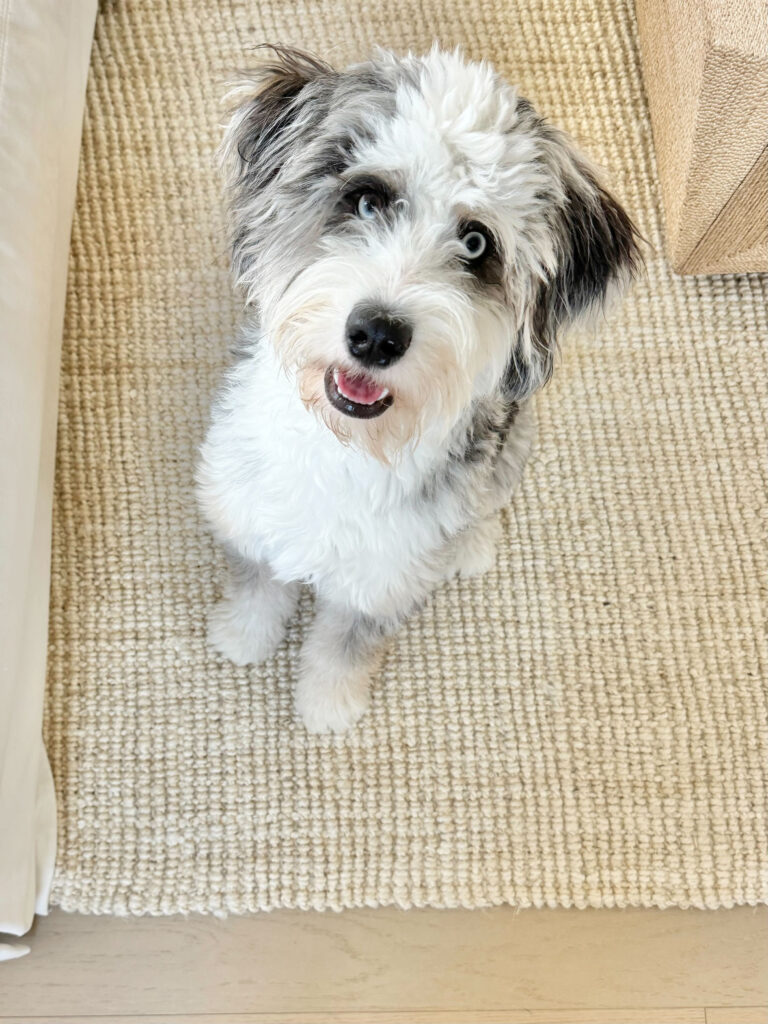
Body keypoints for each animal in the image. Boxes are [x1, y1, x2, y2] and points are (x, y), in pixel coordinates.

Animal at [195, 44, 638, 733]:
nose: (377, 334)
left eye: (476, 243)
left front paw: (328, 706)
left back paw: (470, 544)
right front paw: (243, 637)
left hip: (512, 439)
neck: (347, 447)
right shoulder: (247, 512)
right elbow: (257, 583)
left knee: (486, 499)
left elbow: (344, 645)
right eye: (366, 199)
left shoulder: (383, 581)